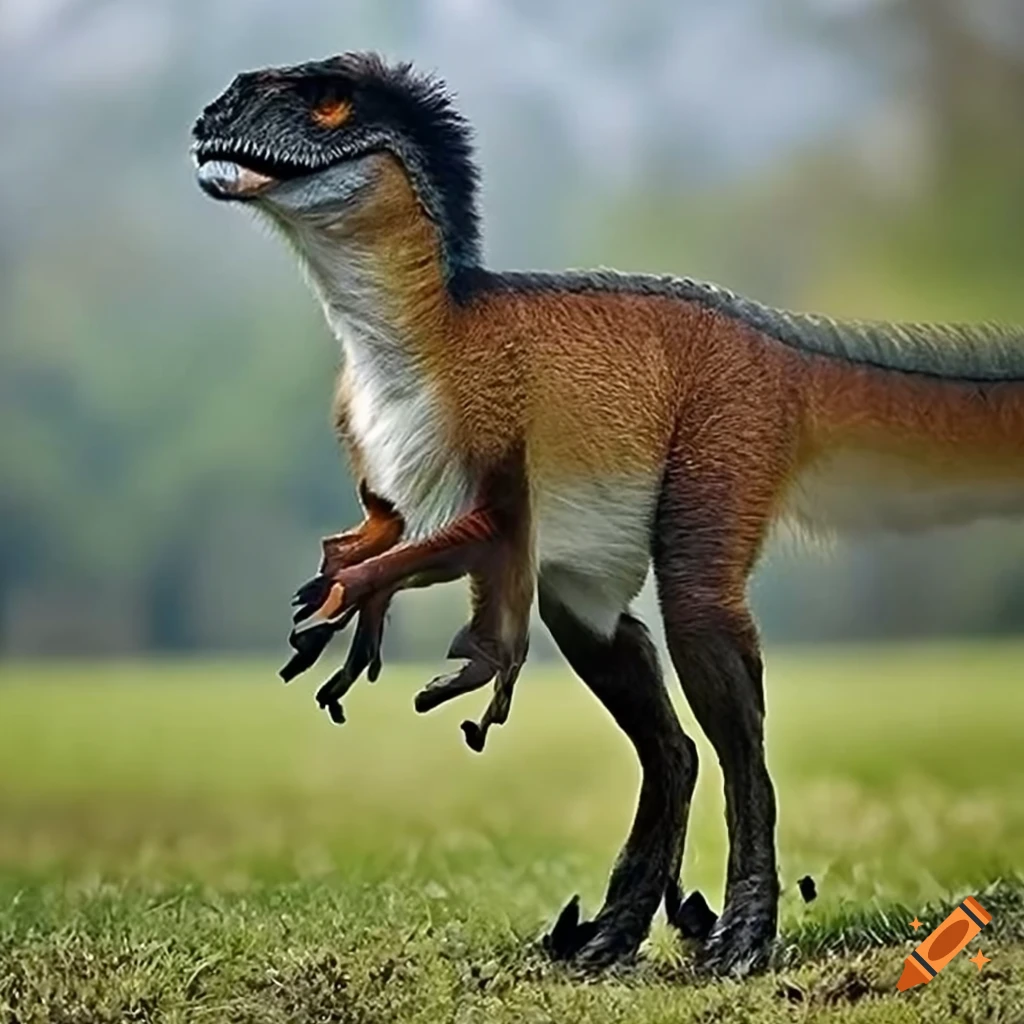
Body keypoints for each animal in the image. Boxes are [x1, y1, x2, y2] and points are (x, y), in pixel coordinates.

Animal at [192, 52, 1024, 976]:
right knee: (662, 726)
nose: (211, 113)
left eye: (328, 99)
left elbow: (475, 548)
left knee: (714, 665)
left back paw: (739, 942)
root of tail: (779, 346)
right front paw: (347, 582)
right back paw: (607, 940)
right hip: (597, 563)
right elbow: (390, 530)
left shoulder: (500, 420)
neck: (420, 338)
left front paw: (365, 607)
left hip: (726, 441)